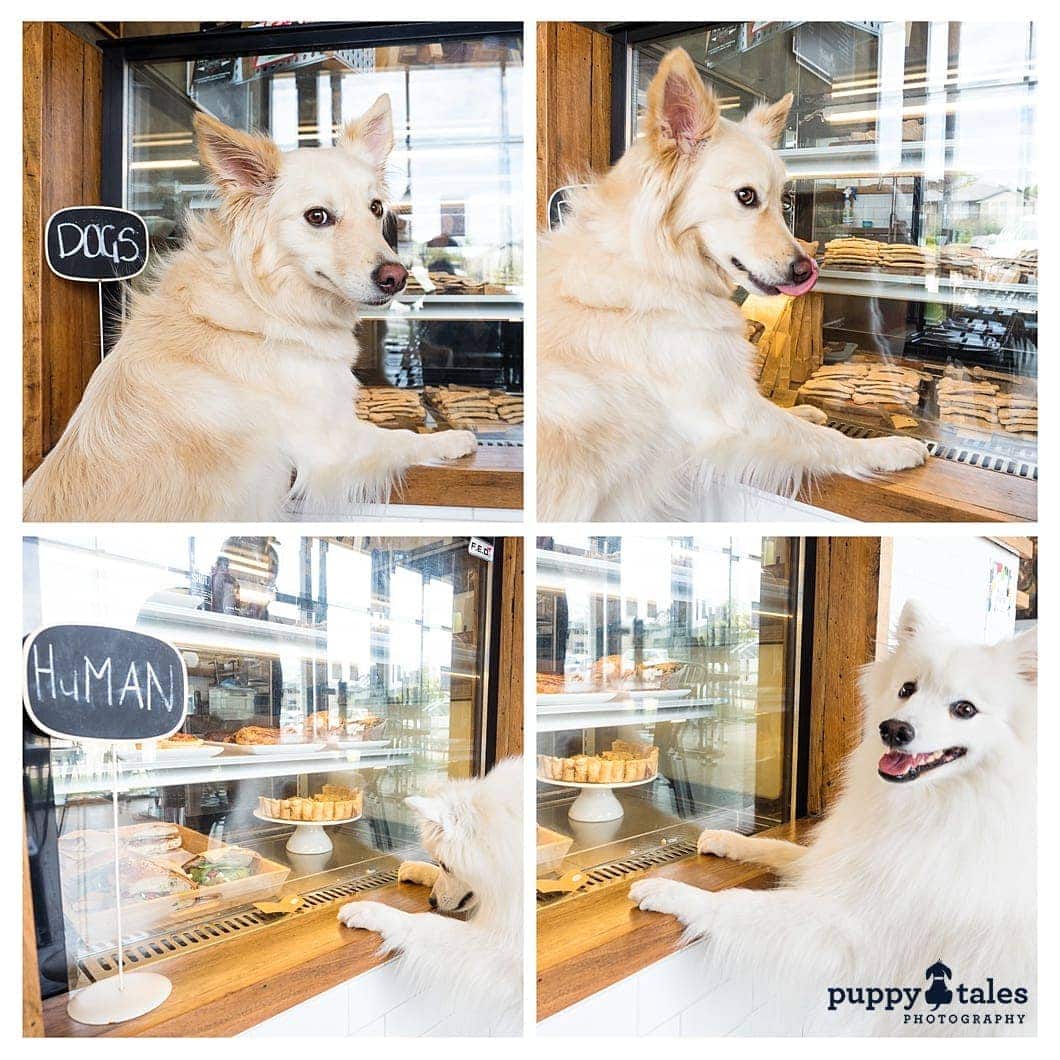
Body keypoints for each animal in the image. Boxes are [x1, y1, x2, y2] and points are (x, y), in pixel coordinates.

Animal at [339, 758, 521, 1038]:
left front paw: (370, 911)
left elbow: (423, 923)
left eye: (447, 865)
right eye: (440, 863)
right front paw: (417, 868)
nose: (432, 902)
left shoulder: (506, 945)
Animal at [538, 49, 928, 521]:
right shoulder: (731, 413)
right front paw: (888, 449)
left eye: (783, 201)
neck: (656, 267)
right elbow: (823, 440)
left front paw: (805, 409)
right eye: (746, 197)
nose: (807, 270)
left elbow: (790, 416)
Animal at [627, 606, 1034, 1034]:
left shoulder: (851, 923)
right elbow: (778, 846)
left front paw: (671, 892)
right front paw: (725, 839)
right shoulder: (843, 860)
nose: (893, 729)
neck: (935, 802)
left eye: (965, 709)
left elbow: (740, 905)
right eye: (907, 689)